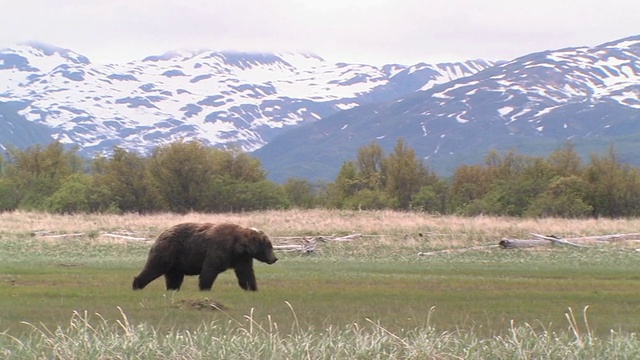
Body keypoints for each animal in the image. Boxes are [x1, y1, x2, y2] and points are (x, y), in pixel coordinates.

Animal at [132, 224, 278, 292]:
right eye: (269, 246)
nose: (274, 259)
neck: (237, 246)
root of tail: (162, 233)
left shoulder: (241, 258)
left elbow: (246, 273)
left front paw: (252, 288)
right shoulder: (218, 249)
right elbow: (209, 270)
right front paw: (205, 288)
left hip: (177, 262)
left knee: (174, 277)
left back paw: (172, 289)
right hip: (169, 251)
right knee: (154, 267)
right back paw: (137, 284)